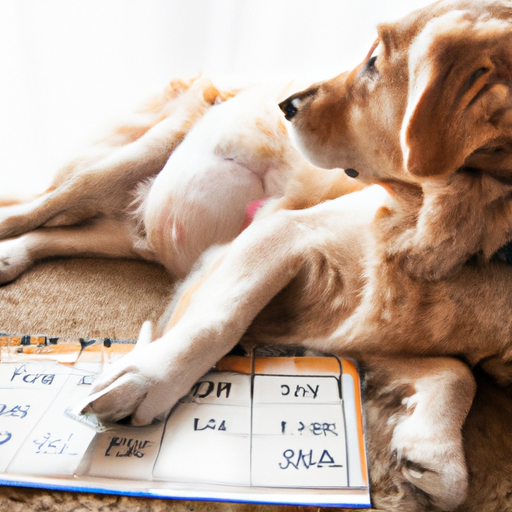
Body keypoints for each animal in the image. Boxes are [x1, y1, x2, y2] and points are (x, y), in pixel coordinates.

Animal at [1, 1, 512, 512]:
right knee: (42, 206)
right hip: (123, 165)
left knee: (70, 232)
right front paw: (147, 379)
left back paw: (16, 257)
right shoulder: (287, 233)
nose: (288, 104)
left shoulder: (349, 327)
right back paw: (9, 243)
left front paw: (432, 452)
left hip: (138, 232)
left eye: (372, 64)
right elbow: (220, 320)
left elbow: (458, 375)